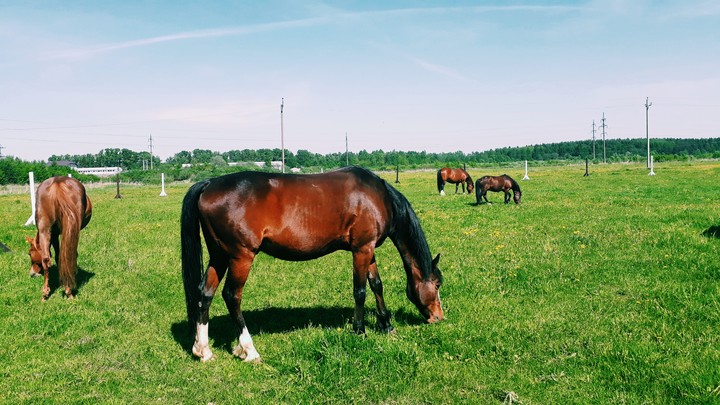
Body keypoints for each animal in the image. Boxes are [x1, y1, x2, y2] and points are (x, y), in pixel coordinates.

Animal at [181, 166, 444, 363]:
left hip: (219, 256)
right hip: (240, 257)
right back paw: (249, 349)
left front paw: (387, 326)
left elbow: (376, 285)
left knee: (205, 294)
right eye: (438, 284)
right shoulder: (361, 249)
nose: (438, 317)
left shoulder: (368, 250)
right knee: (231, 296)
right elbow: (360, 291)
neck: (378, 196)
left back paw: (203, 350)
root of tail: (209, 184)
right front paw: (360, 330)